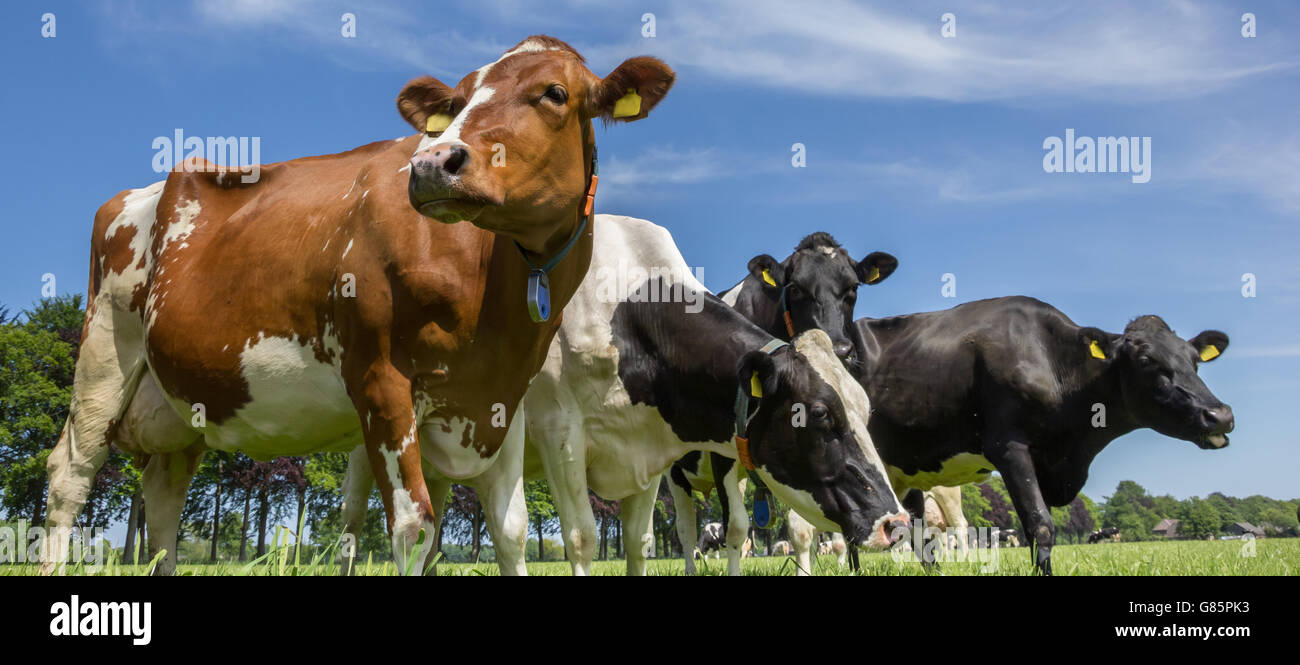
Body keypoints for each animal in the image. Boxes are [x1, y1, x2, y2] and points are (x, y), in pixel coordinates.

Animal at [41, 35, 675, 576]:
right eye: (455, 101)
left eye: (555, 93)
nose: (432, 164)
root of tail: (140, 191)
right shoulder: (380, 377)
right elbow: (415, 526)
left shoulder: (506, 397)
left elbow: (510, 526)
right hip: (104, 351)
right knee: (69, 473)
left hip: (184, 400)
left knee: (164, 496)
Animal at [668, 232, 898, 573]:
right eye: (796, 288)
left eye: (853, 288)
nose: (841, 350)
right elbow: (736, 526)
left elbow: (806, 527)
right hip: (674, 471)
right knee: (685, 529)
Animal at [855, 296, 1234, 574]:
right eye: (1145, 360)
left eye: (1195, 361)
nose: (1220, 415)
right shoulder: (1008, 446)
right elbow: (1041, 525)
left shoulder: (1049, 463)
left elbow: (1043, 529)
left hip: (906, 471)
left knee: (915, 529)